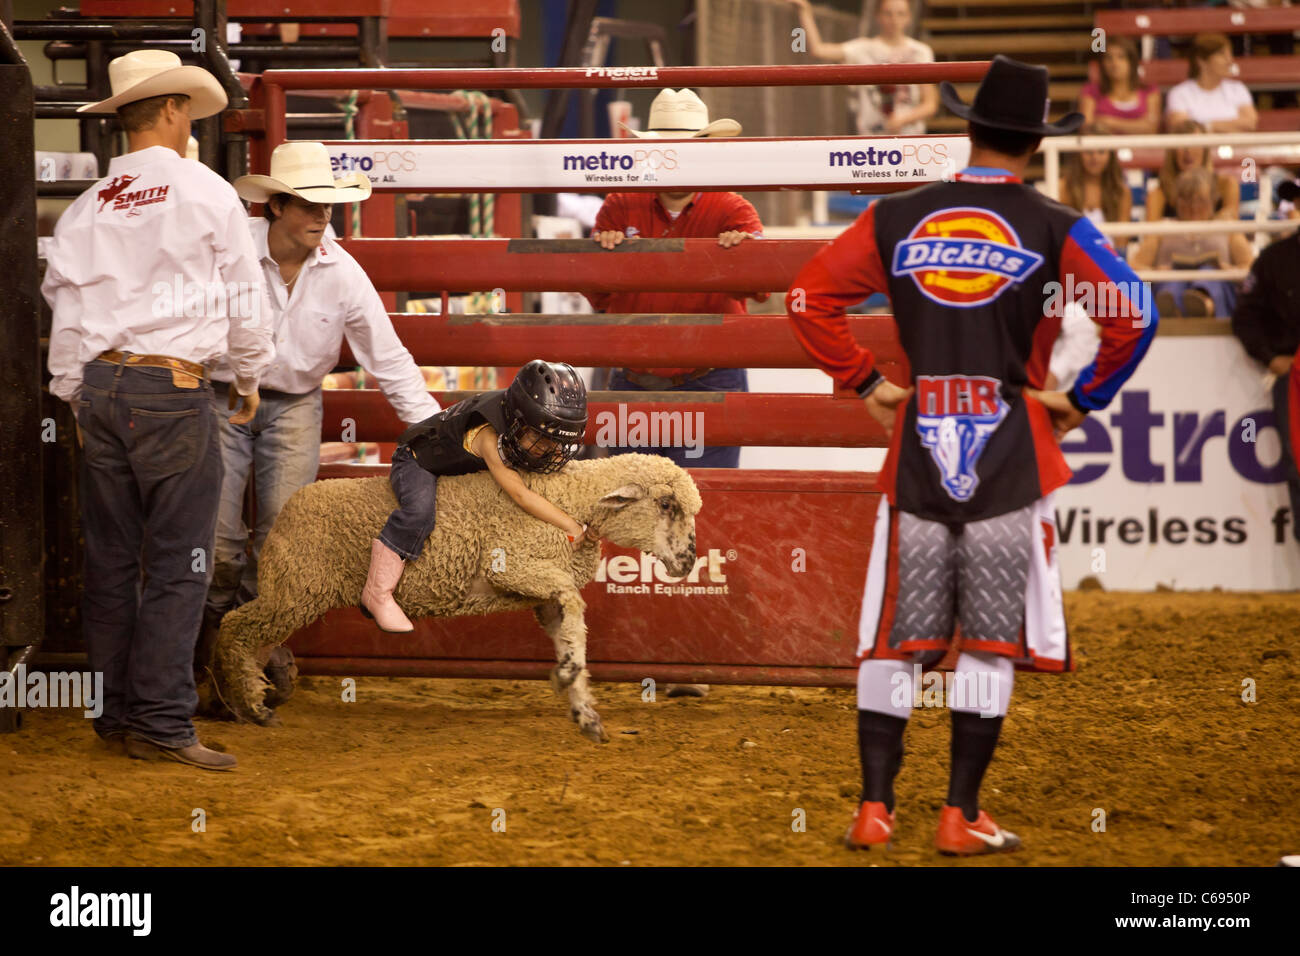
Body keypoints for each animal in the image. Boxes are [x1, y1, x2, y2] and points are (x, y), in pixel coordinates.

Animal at [210, 452, 702, 743]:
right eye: (665, 505)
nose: (688, 561)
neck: (567, 501)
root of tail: (288, 509)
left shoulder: (541, 592)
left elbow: (571, 629)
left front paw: (583, 709)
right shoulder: (517, 566)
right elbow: (575, 609)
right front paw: (568, 681)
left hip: (295, 593)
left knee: (255, 639)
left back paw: (250, 696)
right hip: (295, 589)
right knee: (234, 627)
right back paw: (249, 703)